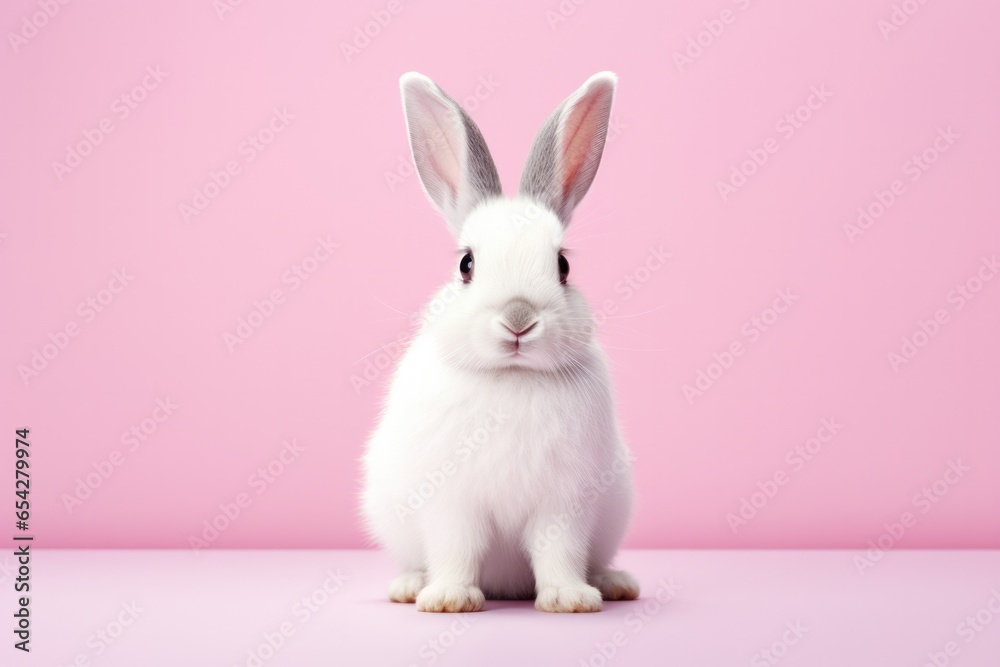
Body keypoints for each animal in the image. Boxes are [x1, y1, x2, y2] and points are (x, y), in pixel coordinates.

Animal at [360, 71, 639, 613]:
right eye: (466, 264)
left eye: (563, 265)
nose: (518, 318)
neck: (512, 377)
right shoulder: (451, 503)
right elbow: (456, 548)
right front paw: (448, 598)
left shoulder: (564, 504)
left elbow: (558, 551)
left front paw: (571, 599)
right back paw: (409, 586)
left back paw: (614, 583)